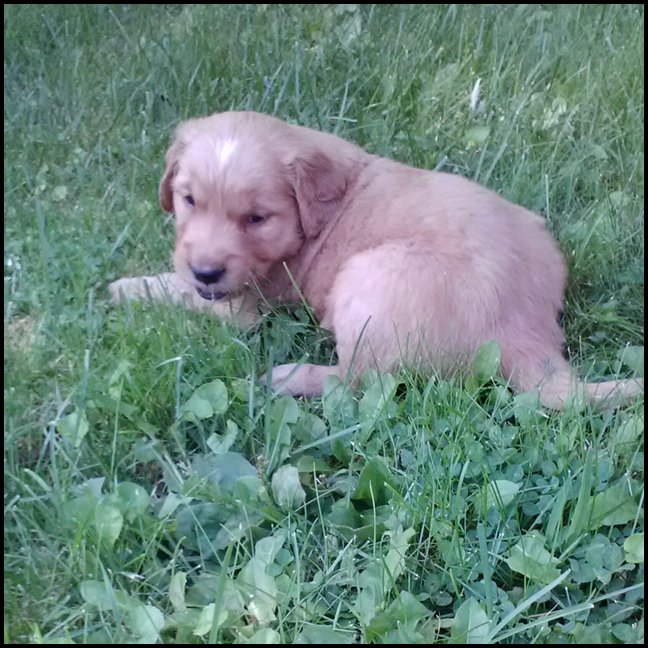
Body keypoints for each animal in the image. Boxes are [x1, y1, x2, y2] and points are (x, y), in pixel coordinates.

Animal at [110, 109, 644, 408]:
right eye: (189, 200)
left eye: (257, 218)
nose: (206, 271)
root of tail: (525, 330)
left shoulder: (244, 303)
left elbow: (178, 291)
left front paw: (123, 288)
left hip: (368, 281)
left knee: (358, 379)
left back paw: (287, 377)